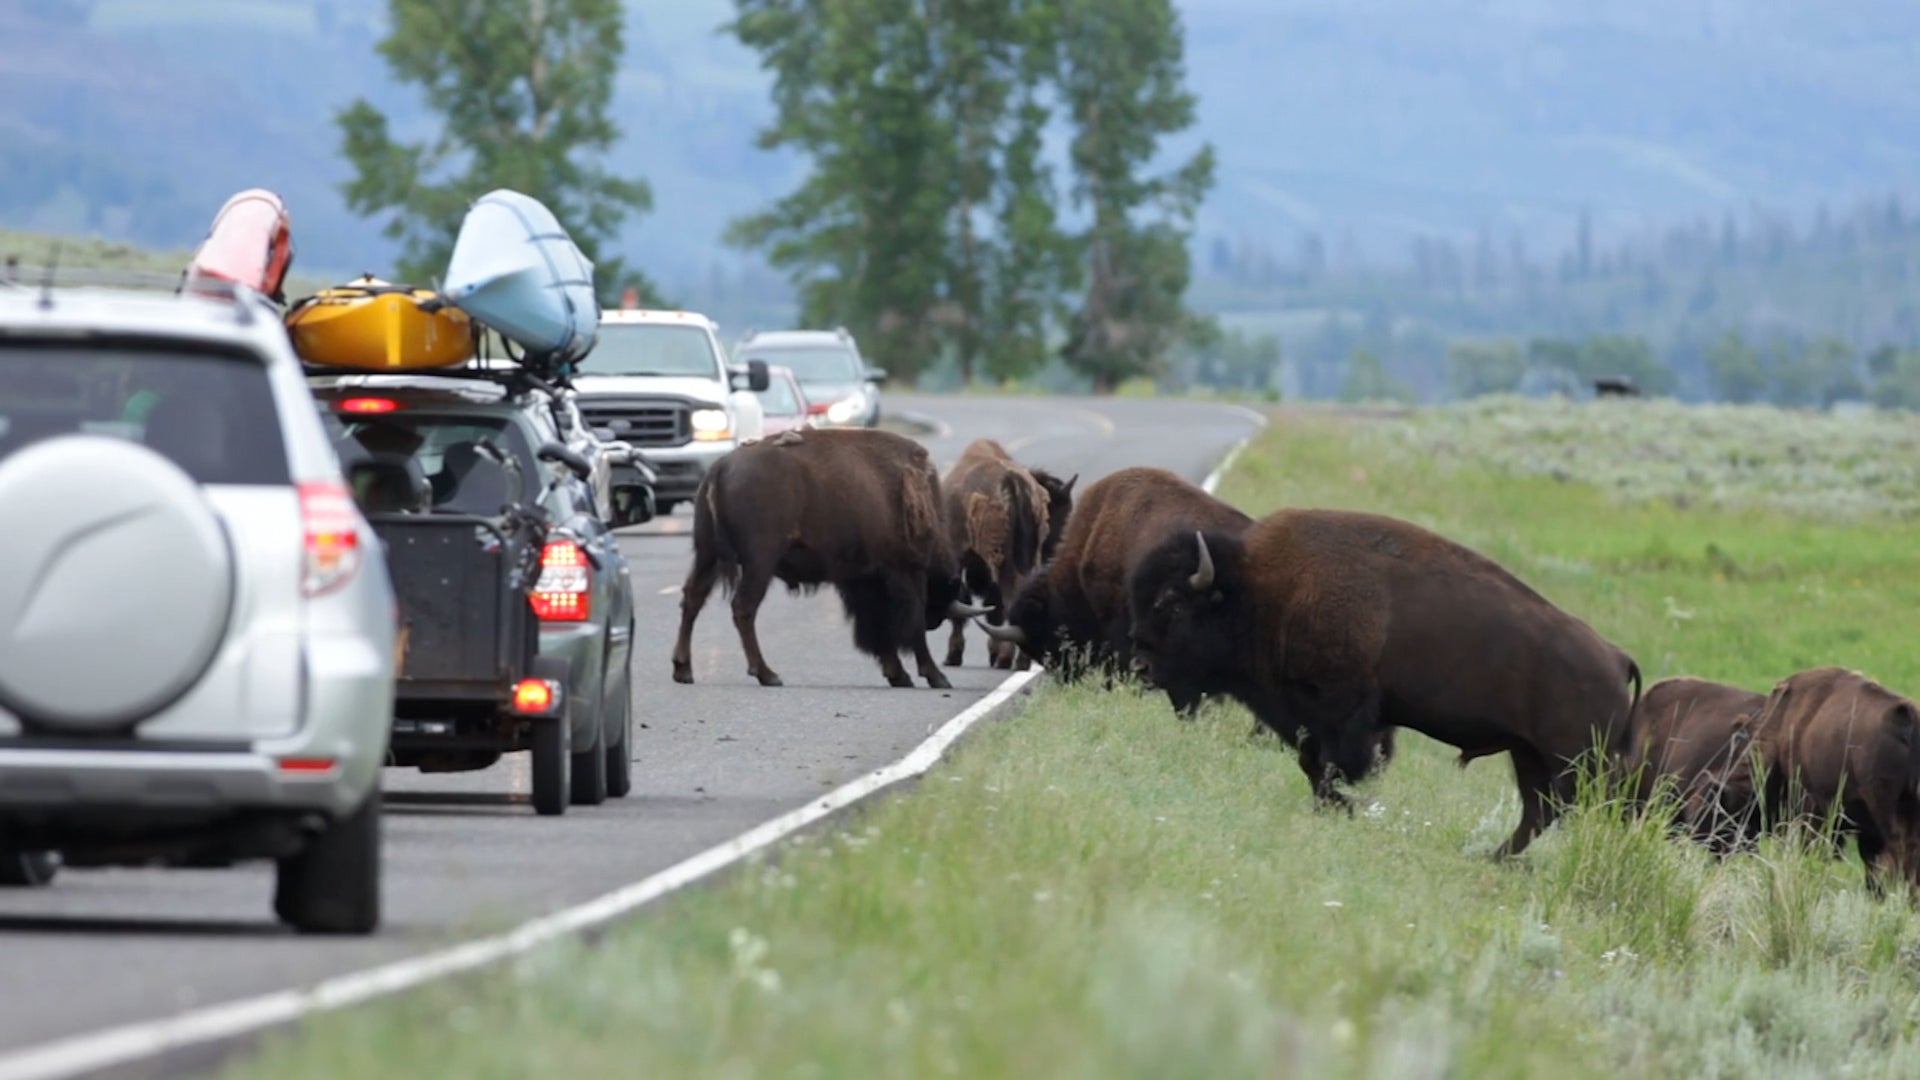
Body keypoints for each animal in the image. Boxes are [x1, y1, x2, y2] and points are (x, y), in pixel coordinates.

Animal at [669, 428, 990, 689]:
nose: (934, 621)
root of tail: (720, 467)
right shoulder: (903, 572)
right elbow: (907, 625)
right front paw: (936, 676)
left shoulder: (862, 579)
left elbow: (878, 629)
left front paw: (899, 675)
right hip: (759, 562)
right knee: (743, 608)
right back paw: (767, 674)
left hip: (708, 555)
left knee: (693, 599)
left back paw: (684, 670)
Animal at [940, 438, 1076, 670]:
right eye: (1057, 515)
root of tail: (1013, 481)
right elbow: (992, 609)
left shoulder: (960, 560)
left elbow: (964, 607)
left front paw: (953, 656)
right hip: (1025, 560)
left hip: (1003, 561)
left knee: (1010, 598)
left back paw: (1009, 659)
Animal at [1127, 510, 1641, 856]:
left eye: (1172, 603)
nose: (1142, 668)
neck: (1257, 591)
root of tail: (1617, 658)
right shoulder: (1315, 718)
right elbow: (1312, 763)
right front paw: (1337, 808)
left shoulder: (1343, 713)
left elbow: (1332, 765)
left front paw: (1342, 807)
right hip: (1530, 755)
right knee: (1539, 811)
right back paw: (1493, 859)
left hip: (1572, 762)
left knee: (1565, 810)